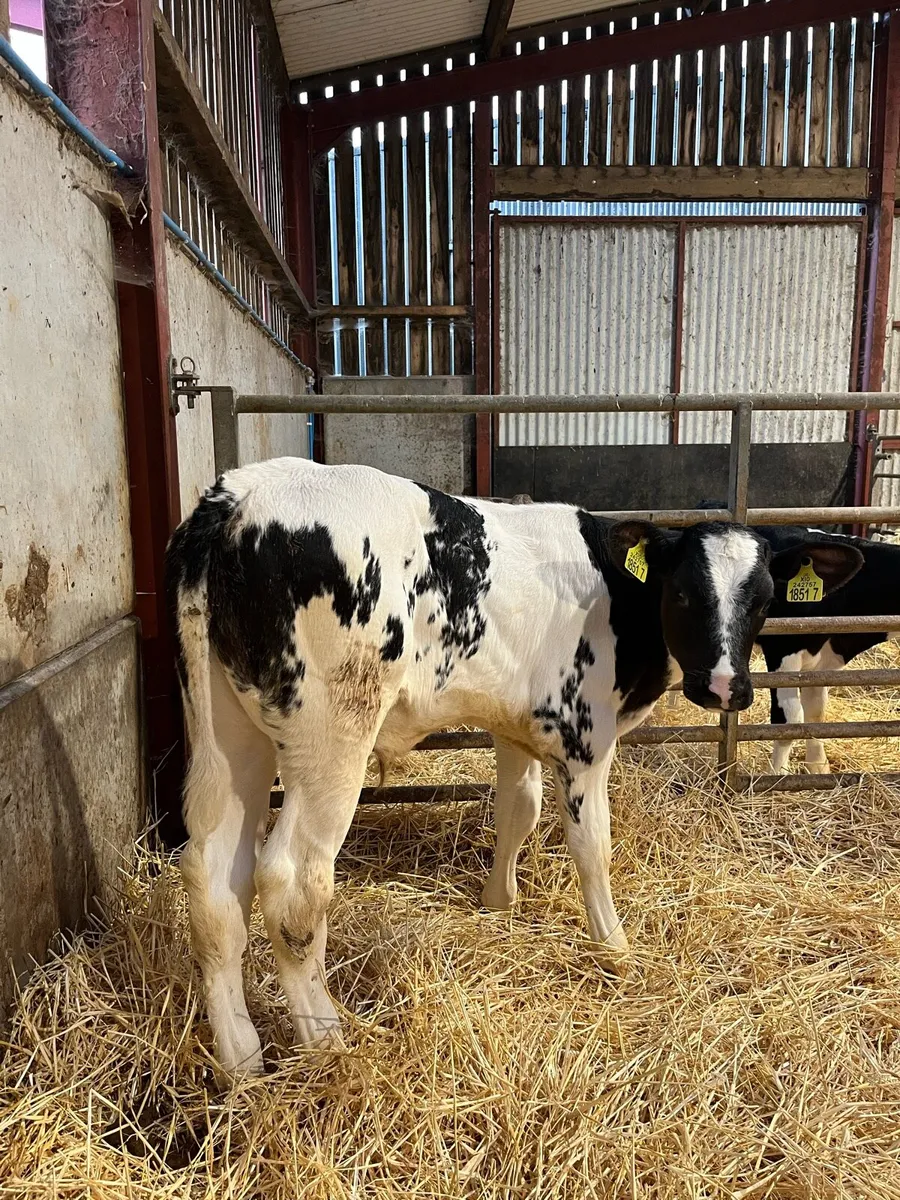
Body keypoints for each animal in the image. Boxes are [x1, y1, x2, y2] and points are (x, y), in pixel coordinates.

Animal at [165, 459, 862, 1075]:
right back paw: (329, 1046)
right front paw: (614, 947)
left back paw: (242, 1062)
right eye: (686, 592)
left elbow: (517, 811)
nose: (725, 687)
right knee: (290, 881)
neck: (619, 595)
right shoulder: (585, 736)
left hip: (228, 733)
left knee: (213, 878)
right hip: (332, 730)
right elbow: (591, 845)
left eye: (765, 598)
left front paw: (499, 905)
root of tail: (241, 494)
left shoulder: (514, 723)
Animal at [753, 525, 897, 773]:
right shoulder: (782, 651)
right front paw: (777, 775)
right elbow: (789, 720)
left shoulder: (822, 663)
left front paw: (818, 768)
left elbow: (816, 714)